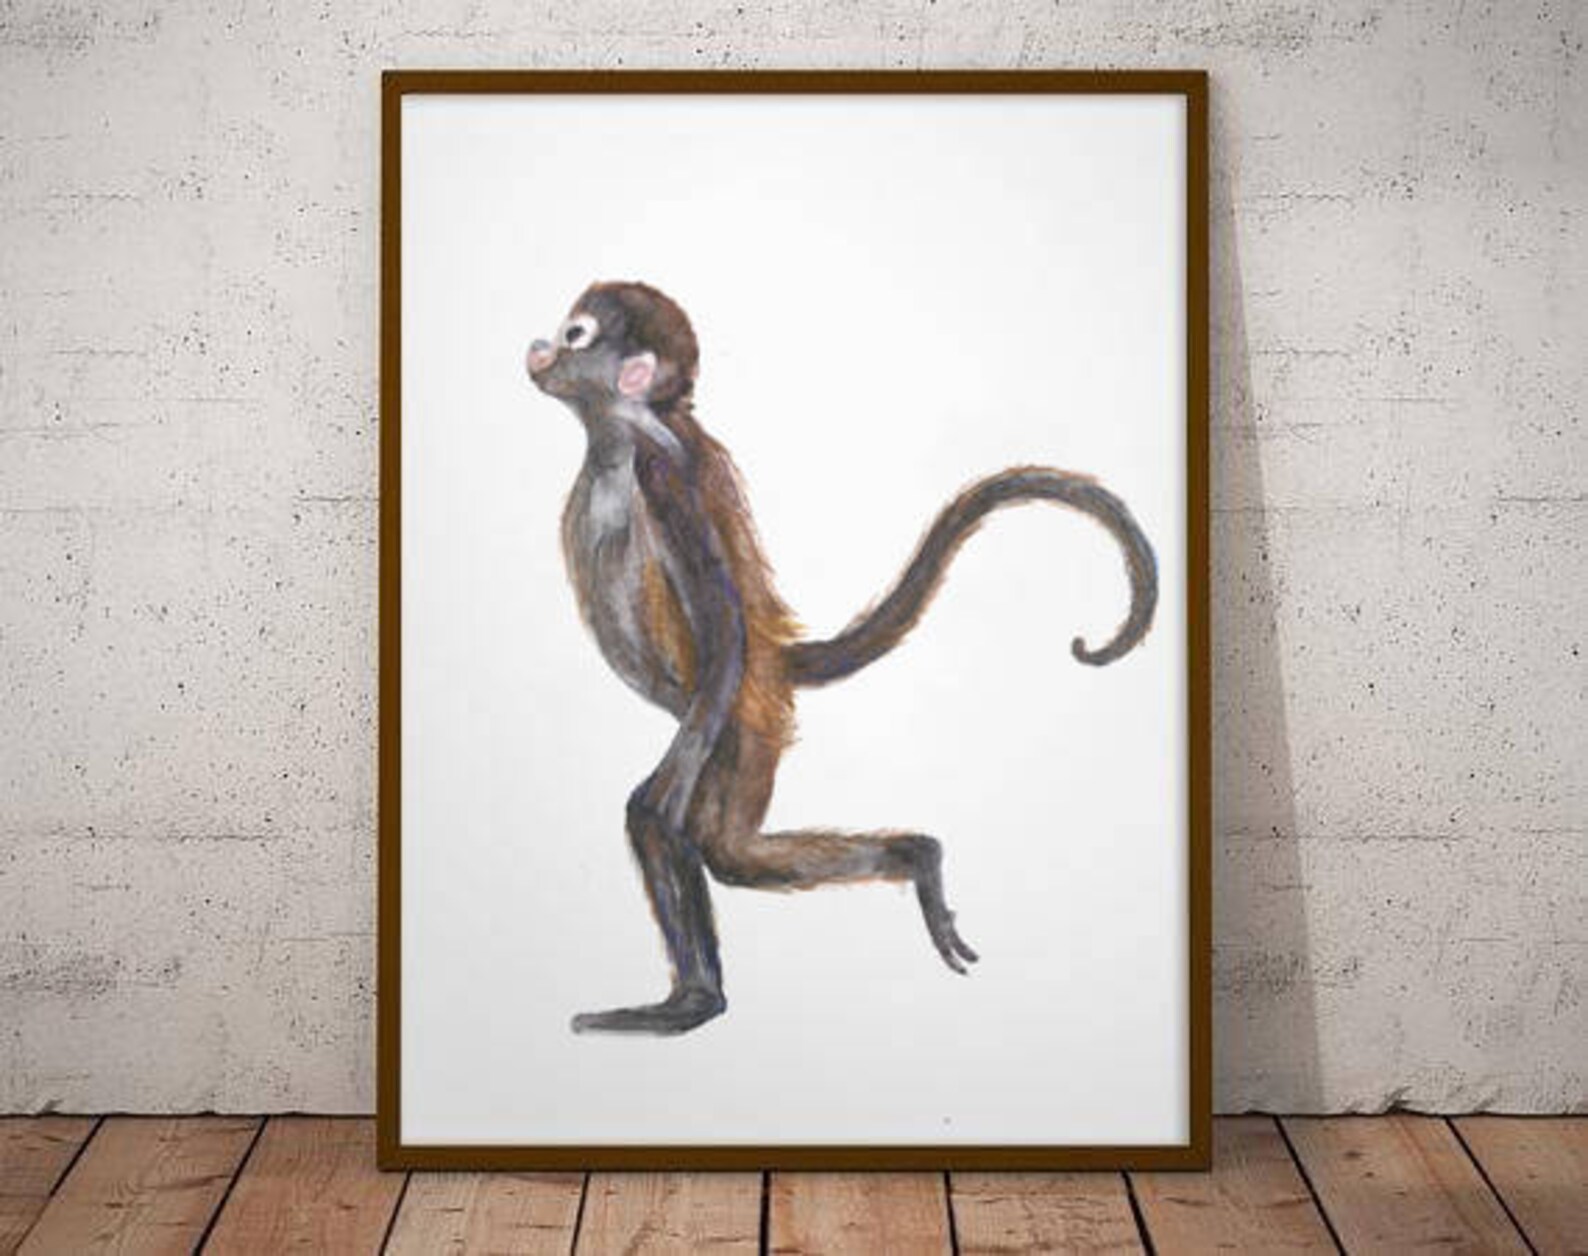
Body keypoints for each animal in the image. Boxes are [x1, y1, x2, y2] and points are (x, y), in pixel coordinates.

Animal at [525, 281, 1158, 1036]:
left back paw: (695, 1001)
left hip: (734, 720)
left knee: (690, 824)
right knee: (731, 851)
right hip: (740, 733)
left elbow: (720, 638)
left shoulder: (664, 481)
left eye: (577, 334)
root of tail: (774, 660)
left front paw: (659, 807)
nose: (541, 347)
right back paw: (914, 856)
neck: (621, 435)